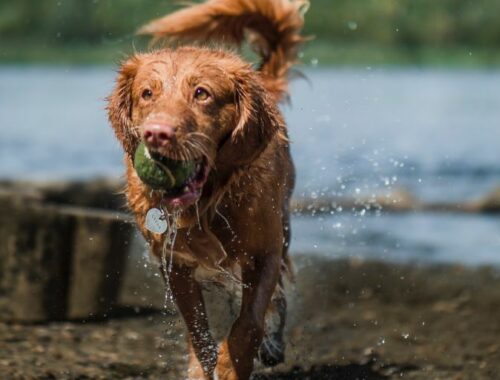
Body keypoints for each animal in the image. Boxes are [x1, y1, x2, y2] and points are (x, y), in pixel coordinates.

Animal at [107, 1, 306, 378]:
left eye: (202, 93)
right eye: (147, 93)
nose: (157, 134)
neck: (207, 201)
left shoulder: (266, 251)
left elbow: (249, 321)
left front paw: (231, 365)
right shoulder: (174, 263)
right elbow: (196, 328)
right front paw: (204, 366)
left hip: (284, 228)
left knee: (277, 298)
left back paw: (272, 341)